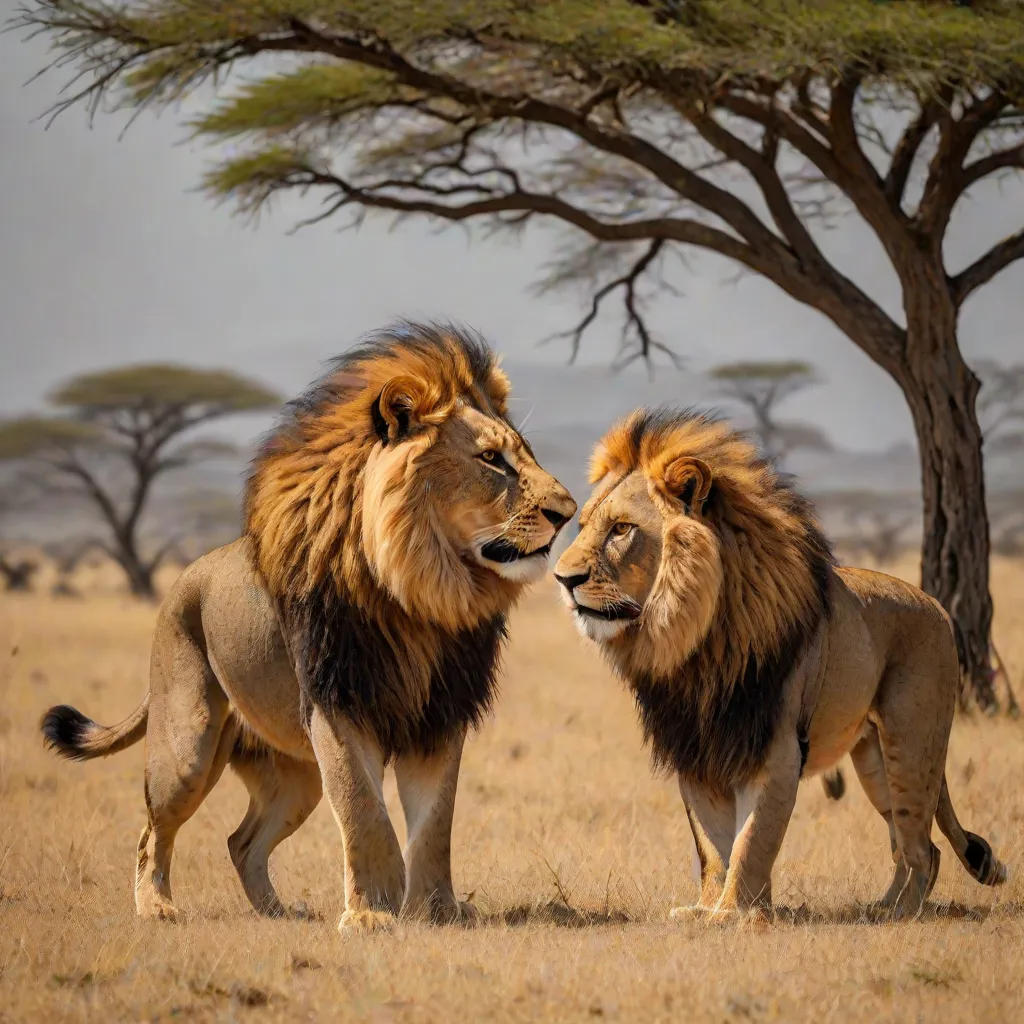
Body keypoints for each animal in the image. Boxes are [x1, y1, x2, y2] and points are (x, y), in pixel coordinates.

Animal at [41, 322, 576, 931]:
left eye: (525, 455)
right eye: (491, 459)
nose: (568, 512)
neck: (422, 591)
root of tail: (184, 579)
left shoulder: (438, 718)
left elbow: (435, 824)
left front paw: (437, 910)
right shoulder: (337, 704)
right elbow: (365, 813)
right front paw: (372, 913)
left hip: (296, 779)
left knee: (241, 841)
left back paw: (279, 913)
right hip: (188, 748)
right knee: (151, 830)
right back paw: (157, 909)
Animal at [554, 408, 1006, 922]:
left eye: (621, 529)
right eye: (583, 525)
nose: (562, 579)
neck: (693, 641)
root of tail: (937, 606)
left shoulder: (776, 750)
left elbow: (753, 841)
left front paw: (736, 915)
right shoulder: (696, 750)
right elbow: (712, 847)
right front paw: (707, 910)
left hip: (911, 745)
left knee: (920, 847)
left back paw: (898, 915)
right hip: (873, 759)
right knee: (912, 846)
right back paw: (879, 906)